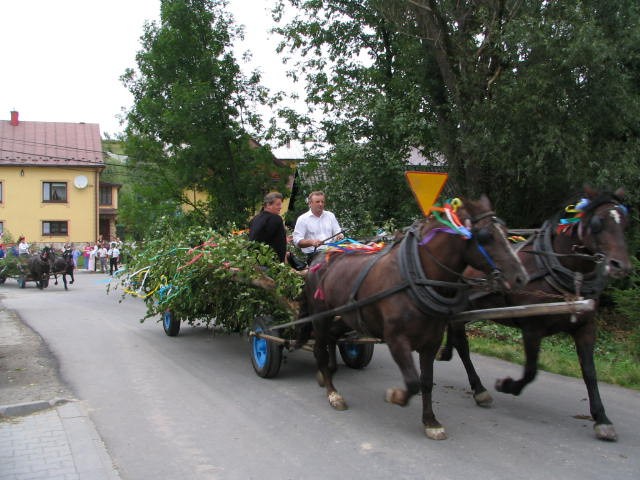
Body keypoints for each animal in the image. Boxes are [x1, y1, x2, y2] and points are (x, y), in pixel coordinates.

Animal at [302, 195, 529, 440]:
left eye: (505, 230)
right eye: (486, 236)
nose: (521, 278)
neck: (414, 279)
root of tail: (320, 255)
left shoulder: (431, 341)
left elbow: (426, 382)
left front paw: (431, 422)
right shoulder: (396, 340)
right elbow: (412, 382)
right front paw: (396, 396)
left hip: (346, 317)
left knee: (332, 337)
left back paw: (328, 373)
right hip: (321, 316)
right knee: (319, 348)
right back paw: (333, 392)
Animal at [437, 186, 631, 441]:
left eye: (625, 221)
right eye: (598, 222)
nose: (622, 266)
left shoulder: (586, 327)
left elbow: (590, 372)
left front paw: (602, 419)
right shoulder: (532, 327)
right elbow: (531, 370)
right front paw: (507, 385)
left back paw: (446, 353)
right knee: (463, 344)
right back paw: (479, 389)